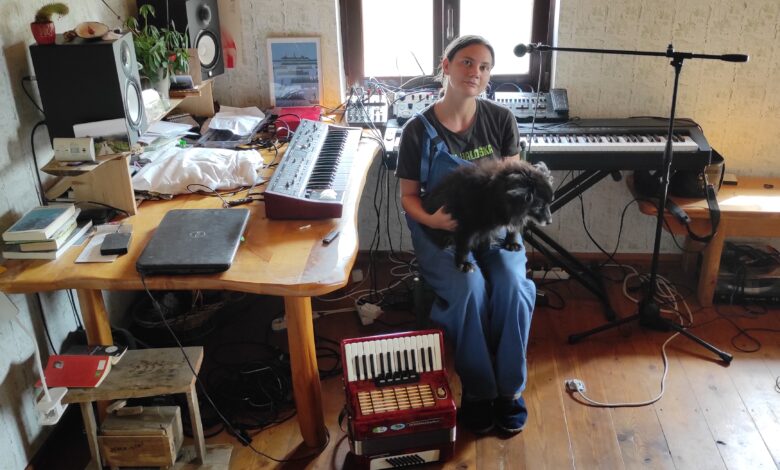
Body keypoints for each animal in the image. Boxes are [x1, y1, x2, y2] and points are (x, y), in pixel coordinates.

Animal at [422, 158, 554, 272]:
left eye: (550, 203)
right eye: (539, 206)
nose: (550, 222)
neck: (494, 194)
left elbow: (513, 229)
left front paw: (511, 243)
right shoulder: (465, 226)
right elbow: (464, 246)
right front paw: (463, 263)